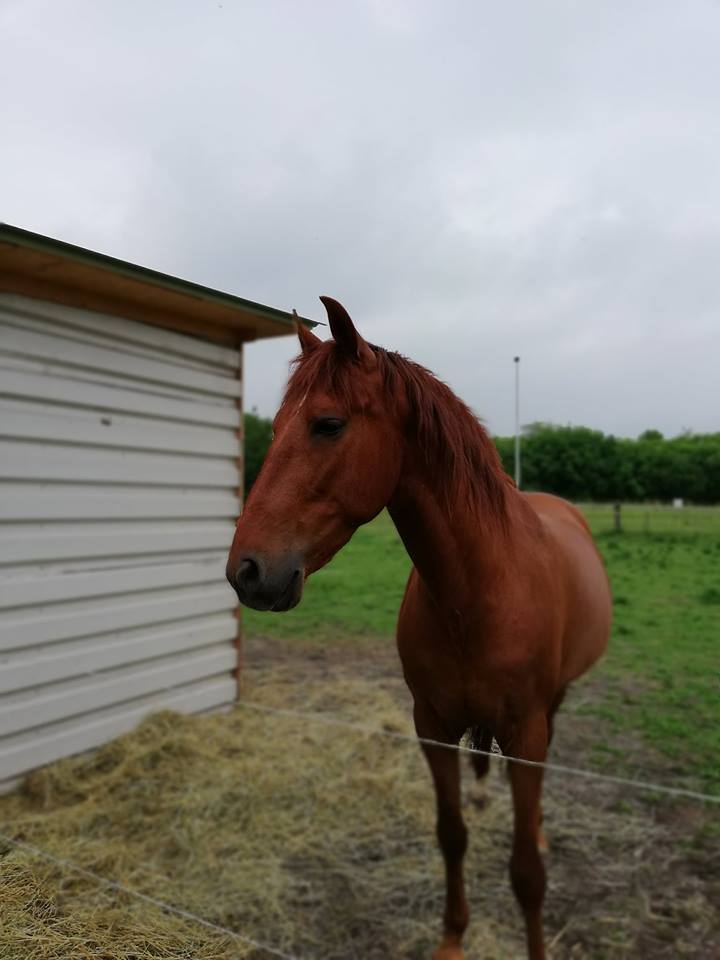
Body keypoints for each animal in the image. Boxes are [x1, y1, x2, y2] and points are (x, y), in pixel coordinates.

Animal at [228, 296, 612, 956]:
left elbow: (527, 875)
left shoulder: (526, 733)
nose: (246, 572)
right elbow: (450, 834)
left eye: (328, 424)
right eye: (273, 428)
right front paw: (452, 937)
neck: (477, 595)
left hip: (552, 704)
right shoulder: (432, 727)